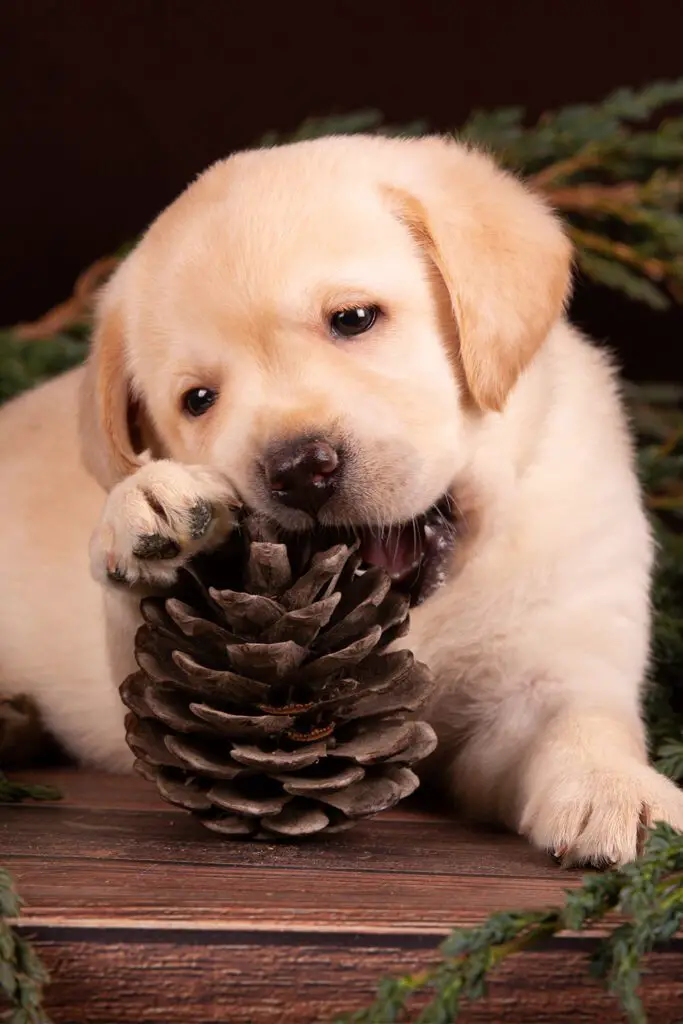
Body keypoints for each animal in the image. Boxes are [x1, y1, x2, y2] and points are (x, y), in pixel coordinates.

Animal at [1, 136, 683, 864]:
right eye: (199, 400)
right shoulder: (148, 672)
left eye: (354, 319)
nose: (299, 470)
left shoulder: (553, 651)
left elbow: (580, 720)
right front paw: (149, 509)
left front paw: (616, 787)